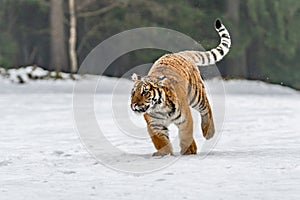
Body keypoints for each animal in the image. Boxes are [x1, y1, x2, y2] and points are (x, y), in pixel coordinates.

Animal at [130, 18, 231, 156]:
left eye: (145, 92)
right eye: (133, 93)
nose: (134, 105)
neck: (159, 108)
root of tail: (180, 53)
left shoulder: (185, 119)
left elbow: (185, 135)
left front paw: (189, 150)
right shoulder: (155, 125)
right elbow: (160, 141)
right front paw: (164, 154)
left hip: (196, 95)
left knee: (206, 108)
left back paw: (208, 132)